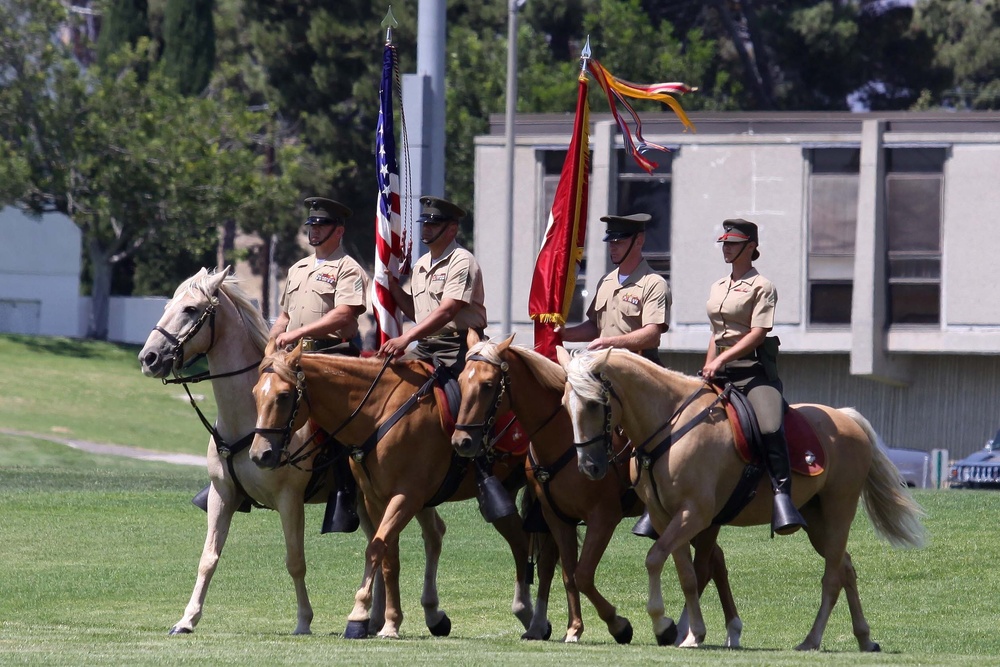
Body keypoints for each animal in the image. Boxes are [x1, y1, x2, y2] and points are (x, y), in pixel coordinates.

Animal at [138, 268, 450, 636]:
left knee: (431, 534)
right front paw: (187, 619)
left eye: (190, 309)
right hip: (367, 499)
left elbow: (295, 561)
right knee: (382, 541)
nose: (148, 358)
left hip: (410, 491)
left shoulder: (289, 499)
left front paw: (303, 620)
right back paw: (373, 619)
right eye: (168, 305)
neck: (250, 416)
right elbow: (208, 557)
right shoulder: (222, 494)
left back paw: (430, 614)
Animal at [245, 348, 552, 640]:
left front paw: (359, 615)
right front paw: (390, 620)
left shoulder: (407, 497)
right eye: (255, 394)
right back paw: (526, 613)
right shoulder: (375, 498)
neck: (380, 412)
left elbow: (375, 549)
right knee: (520, 543)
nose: (260, 454)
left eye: (284, 396)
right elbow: (388, 557)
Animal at [454, 334, 744, 648]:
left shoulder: (603, 516)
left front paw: (619, 625)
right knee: (715, 560)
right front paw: (574, 628)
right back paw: (727, 629)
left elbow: (582, 574)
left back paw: (691, 629)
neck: (561, 438)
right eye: (460, 380)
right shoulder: (557, 517)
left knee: (707, 564)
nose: (461, 441)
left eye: (487, 384)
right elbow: (568, 573)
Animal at [560, 350, 924, 652]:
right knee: (846, 568)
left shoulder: (694, 514)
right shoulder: (668, 517)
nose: (589, 466)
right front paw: (690, 633)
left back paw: (812, 639)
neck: (671, 427)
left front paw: (665, 624)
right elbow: (685, 573)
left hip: (839, 511)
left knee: (832, 579)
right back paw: (864, 638)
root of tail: (847, 418)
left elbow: (656, 560)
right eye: (565, 405)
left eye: (594, 404)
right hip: (818, 521)